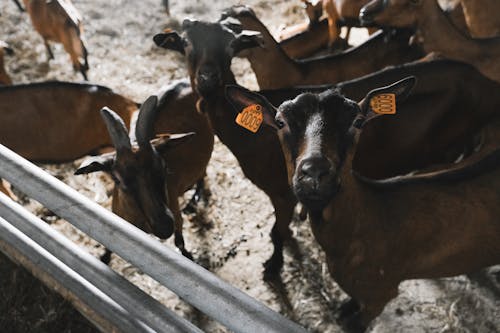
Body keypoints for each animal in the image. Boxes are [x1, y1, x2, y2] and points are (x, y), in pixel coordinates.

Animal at [76, 83, 213, 262]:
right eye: (117, 179)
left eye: (163, 167)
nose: (164, 226)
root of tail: (185, 84)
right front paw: (104, 257)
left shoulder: (176, 214)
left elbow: (180, 242)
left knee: (203, 174)